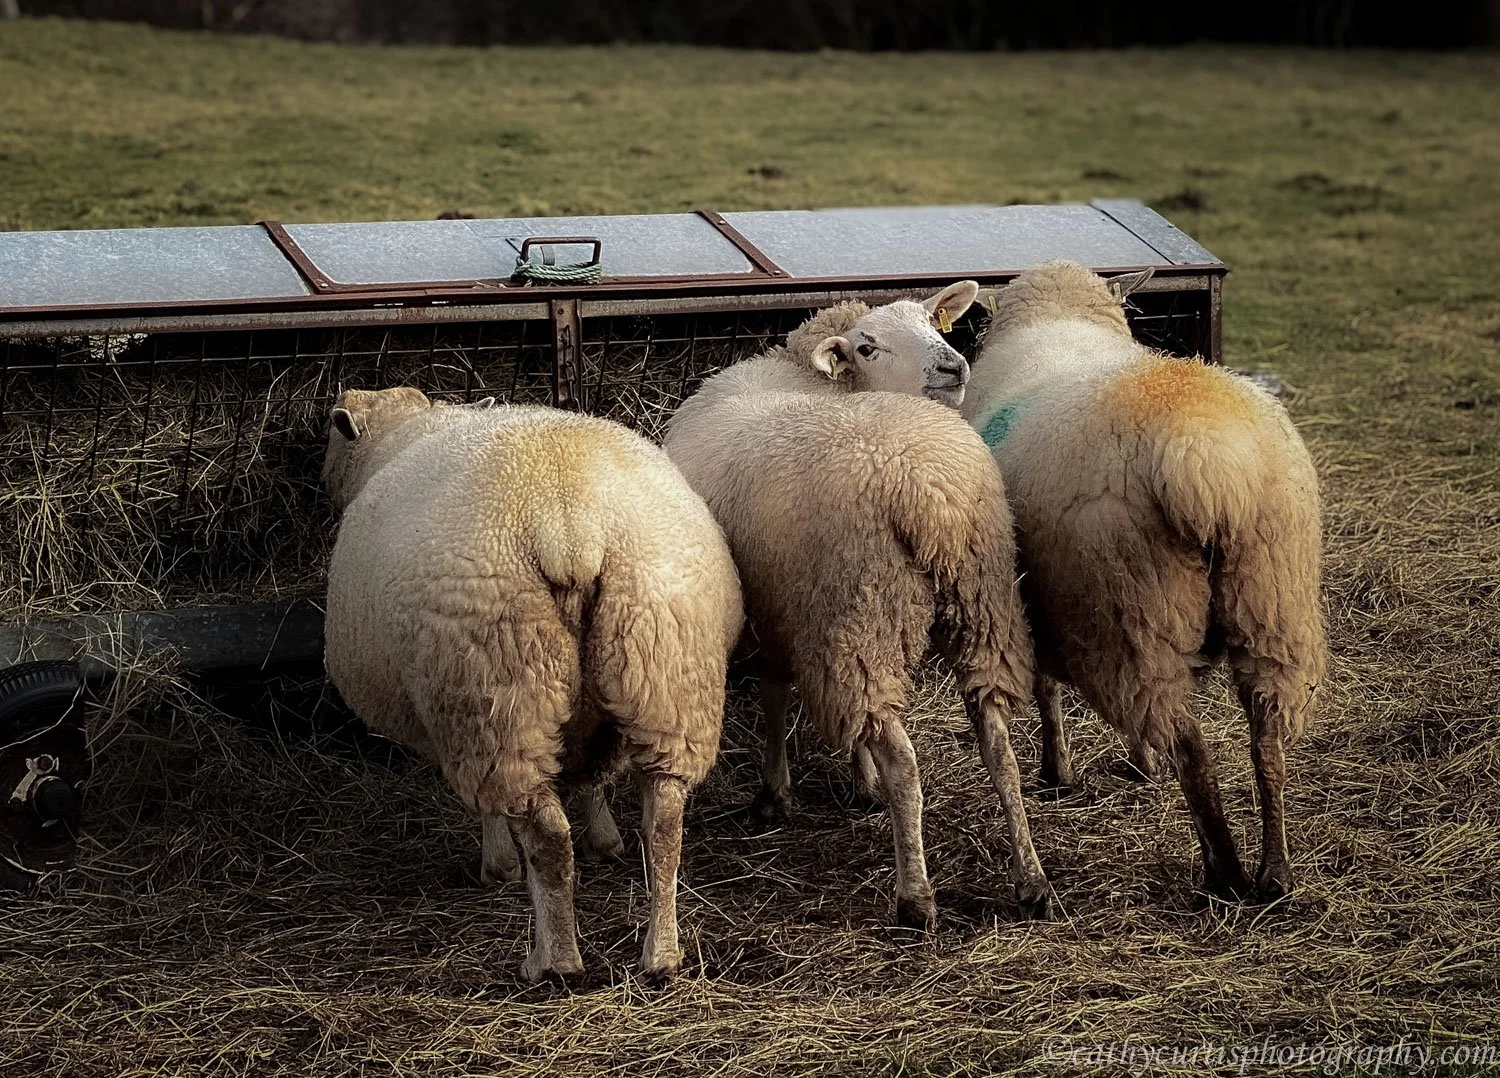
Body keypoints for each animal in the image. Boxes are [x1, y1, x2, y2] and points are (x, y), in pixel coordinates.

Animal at [321, 387, 743, 979]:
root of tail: (570, 528)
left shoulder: (452, 719)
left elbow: (491, 809)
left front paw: (497, 866)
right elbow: (592, 778)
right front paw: (604, 838)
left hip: (495, 690)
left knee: (545, 834)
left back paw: (553, 959)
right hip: (664, 666)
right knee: (663, 823)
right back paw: (661, 952)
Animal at [663, 284, 1052, 926]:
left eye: (934, 324)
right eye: (868, 346)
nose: (952, 366)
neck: (811, 378)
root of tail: (928, 495)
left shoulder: (791, 611)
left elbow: (775, 694)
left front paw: (776, 791)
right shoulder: (788, 606)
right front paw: (850, 780)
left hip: (860, 610)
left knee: (906, 763)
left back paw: (915, 896)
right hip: (981, 604)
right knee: (998, 742)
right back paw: (1032, 879)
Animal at [961, 260, 1326, 903]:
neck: (1060, 319)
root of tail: (1205, 455)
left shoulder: (1038, 599)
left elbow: (1047, 690)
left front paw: (1062, 770)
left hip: (1137, 608)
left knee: (1190, 746)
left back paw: (1223, 871)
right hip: (1272, 598)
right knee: (1267, 738)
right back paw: (1275, 872)